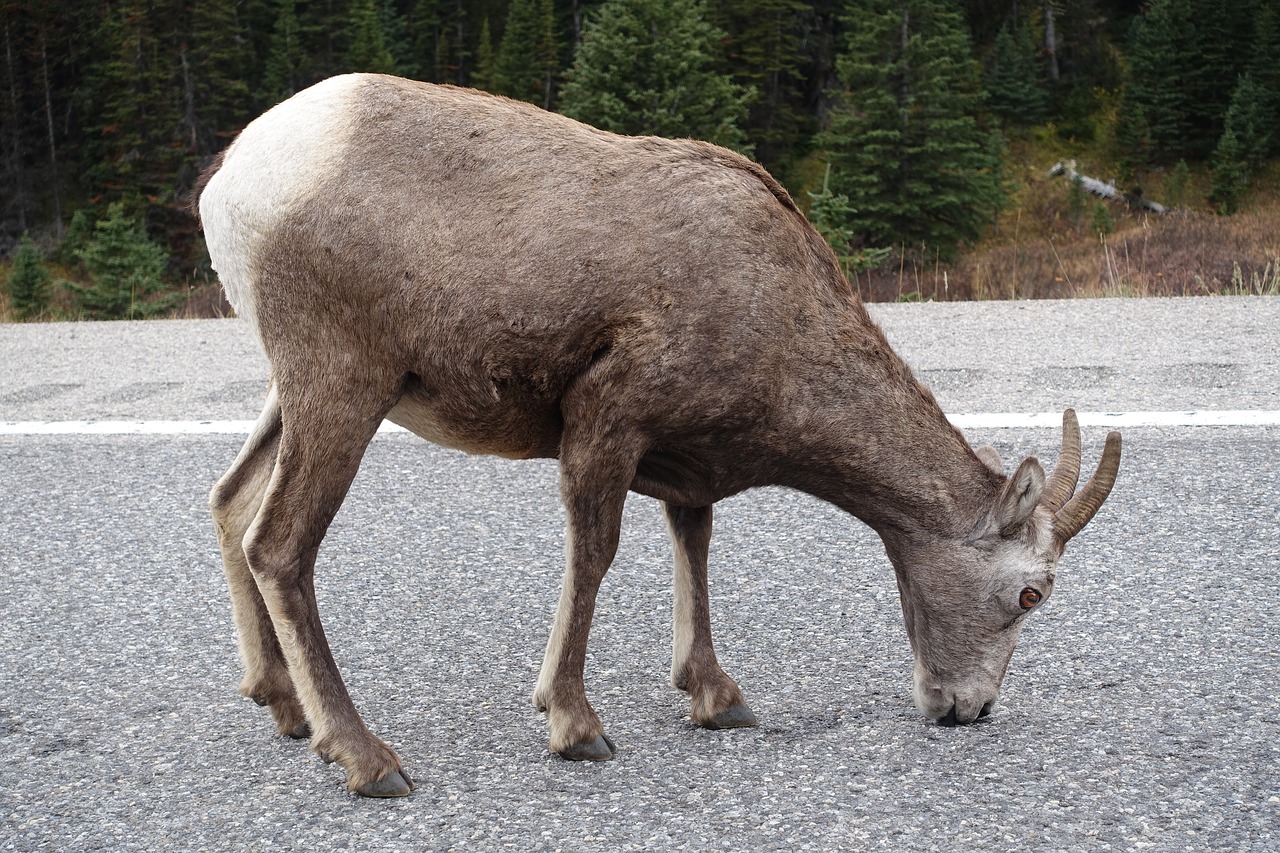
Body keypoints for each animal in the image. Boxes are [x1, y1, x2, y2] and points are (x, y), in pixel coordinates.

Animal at [192, 71, 1121, 788]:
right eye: (1031, 591)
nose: (968, 708)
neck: (780, 316)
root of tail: (233, 179)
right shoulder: (607, 420)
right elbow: (594, 555)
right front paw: (574, 725)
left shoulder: (684, 461)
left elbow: (693, 545)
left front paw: (717, 698)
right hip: (342, 384)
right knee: (280, 542)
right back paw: (367, 759)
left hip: (297, 392)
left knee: (231, 502)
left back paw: (281, 706)